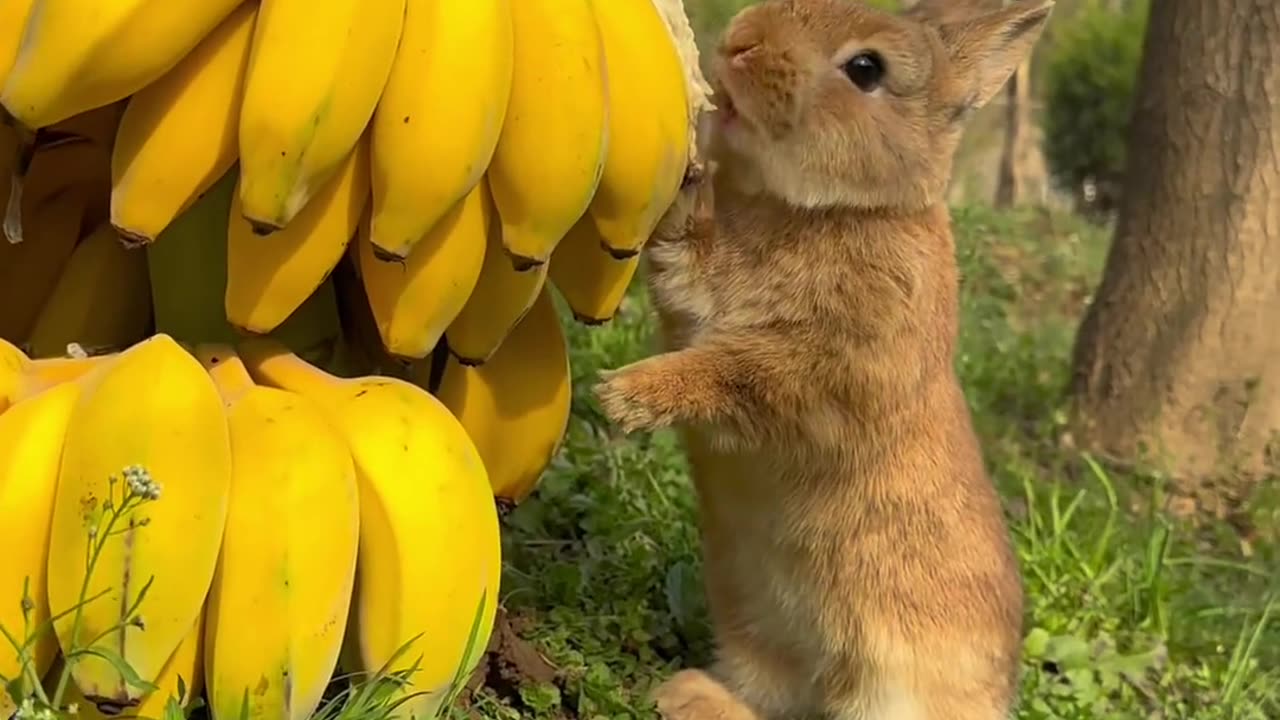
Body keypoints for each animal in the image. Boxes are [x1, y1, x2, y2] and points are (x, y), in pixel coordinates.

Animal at [593, 1, 1054, 717]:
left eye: (866, 68)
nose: (742, 41)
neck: (836, 210)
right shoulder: (701, 300)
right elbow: (687, 265)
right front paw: (685, 183)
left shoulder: (823, 374)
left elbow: (729, 371)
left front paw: (625, 397)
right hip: (753, 621)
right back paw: (687, 695)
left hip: (887, 683)